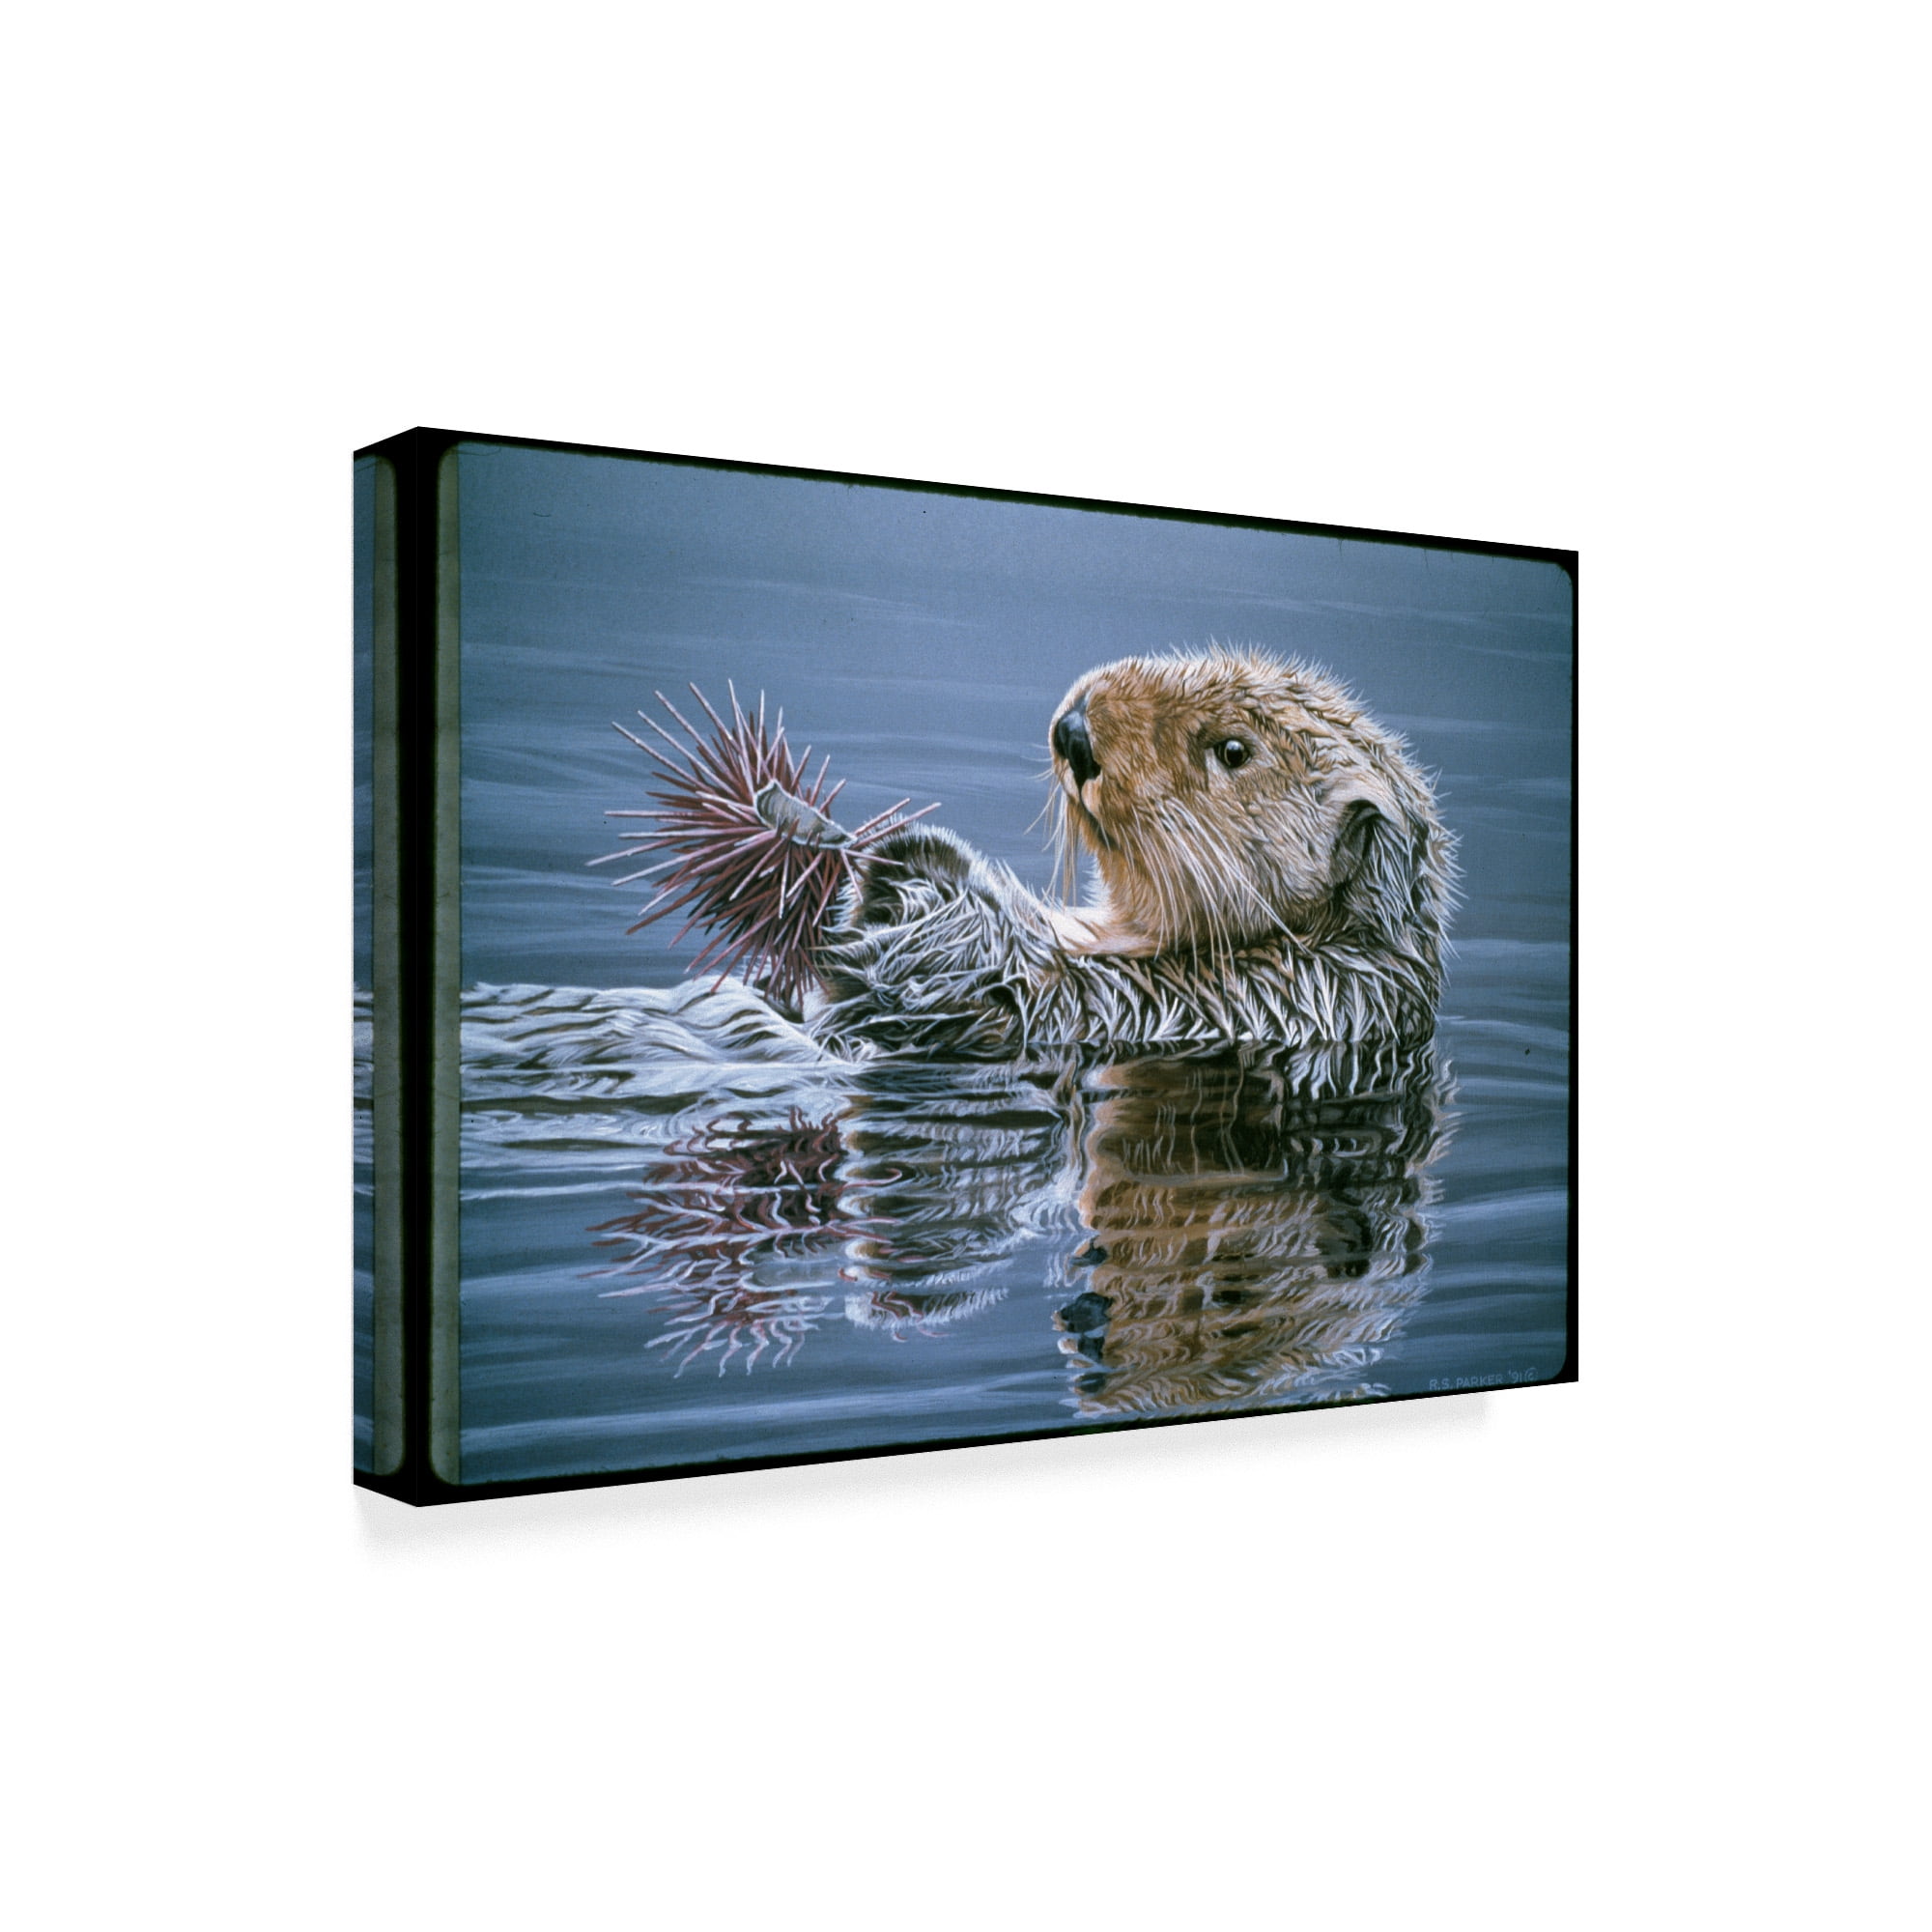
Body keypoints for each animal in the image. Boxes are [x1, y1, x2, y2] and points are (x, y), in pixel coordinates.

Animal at [813, 649, 1454, 1056]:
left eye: (1233, 750)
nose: (1073, 732)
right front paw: (891, 858)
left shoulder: (1238, 1001)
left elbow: (1029, 989)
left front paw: (919, 879)